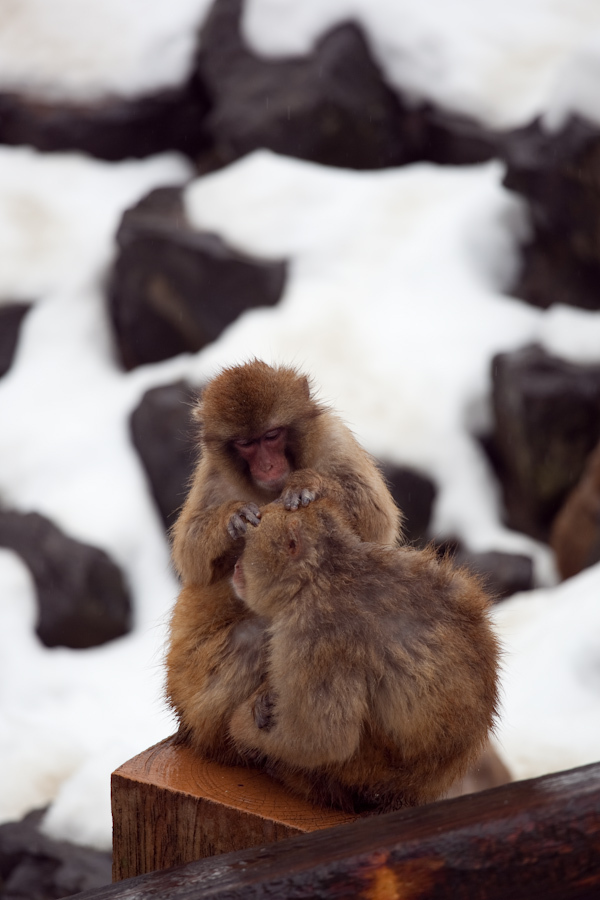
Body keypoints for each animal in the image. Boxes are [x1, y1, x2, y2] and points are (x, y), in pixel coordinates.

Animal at [165, 358, 404, 760]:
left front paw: (309, 486)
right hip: (186, 683)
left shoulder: (333, 438)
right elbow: (191, 555)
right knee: (250, 637)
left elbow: (377, 518)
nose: (267, 466)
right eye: (247, 443)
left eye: (273, 435)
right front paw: (232, 519)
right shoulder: (212, 473)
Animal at [227, 496, 500, 812]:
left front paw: (241, 726)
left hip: (363, 770)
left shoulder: (315, 634)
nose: (236, 567)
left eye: (247, 548)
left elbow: (323, 738)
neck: (322, 573)